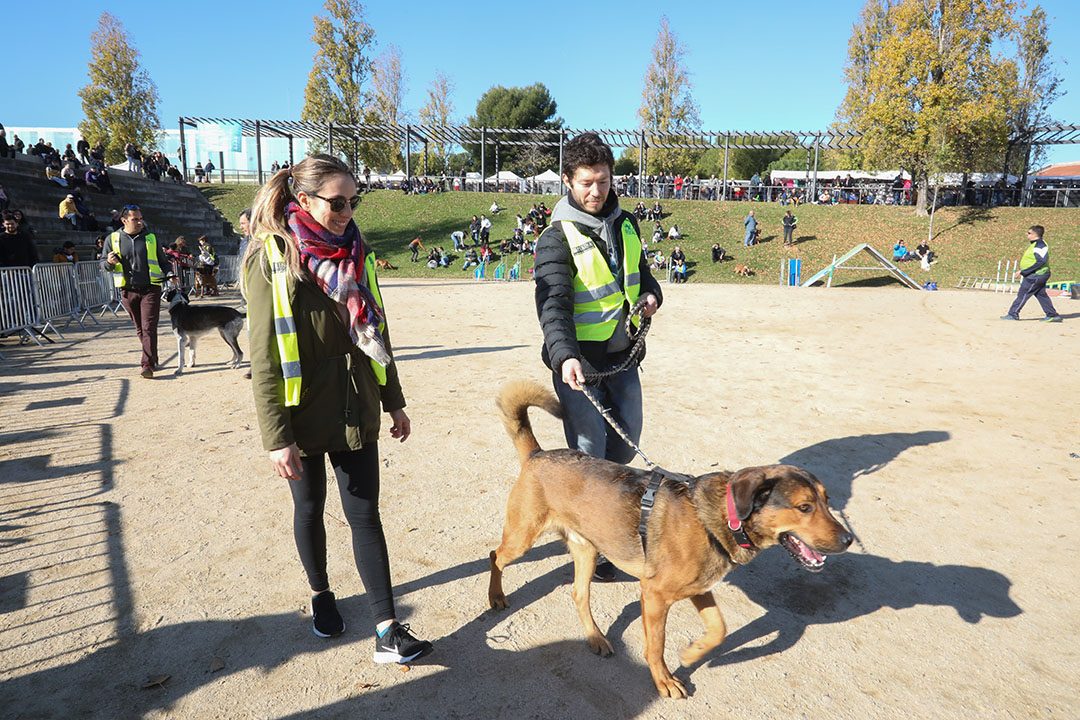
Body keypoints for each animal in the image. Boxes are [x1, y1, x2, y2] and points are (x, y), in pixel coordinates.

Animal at [490, 379, 851, 699]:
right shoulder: (654, 595)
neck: (720, 517)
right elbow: (656, 645)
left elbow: (719, 628)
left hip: (587, 550)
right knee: (496, 556)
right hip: (523, 536)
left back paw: (597, 638)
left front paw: (693, 653)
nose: (848, 539)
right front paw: (664, 680)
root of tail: (537, 455)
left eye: (827, 500)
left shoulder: (700, 588)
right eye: (804, 507)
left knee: (579, 595)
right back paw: (496, 597)